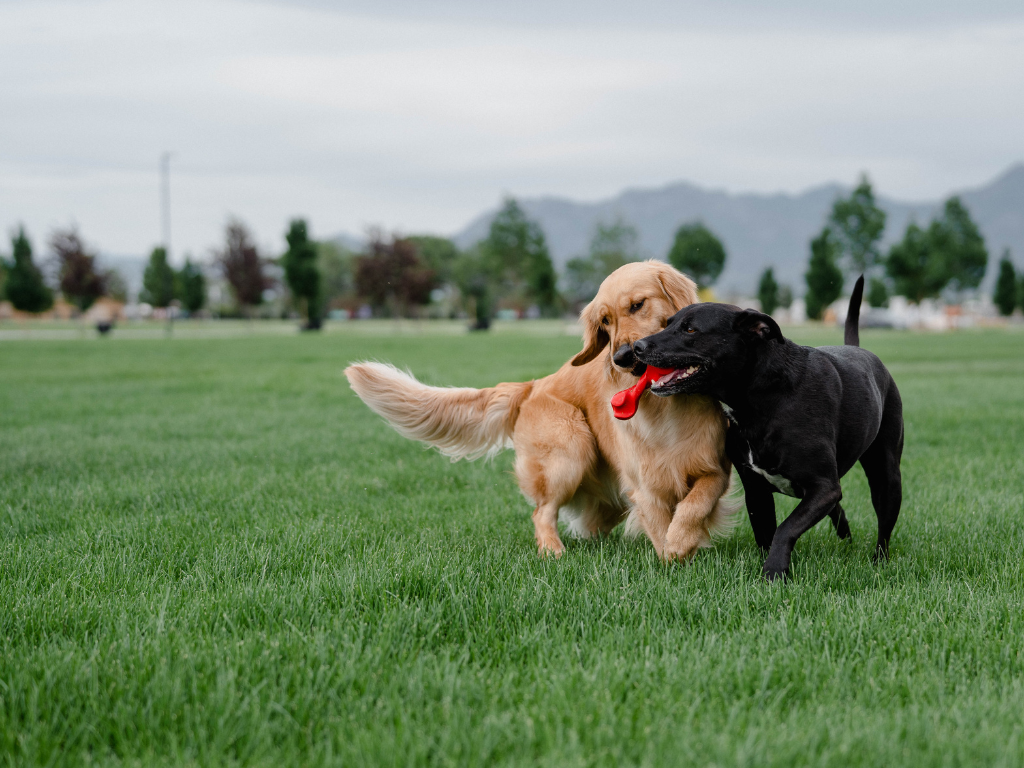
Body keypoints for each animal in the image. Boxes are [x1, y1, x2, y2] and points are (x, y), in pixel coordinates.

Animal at [630, 280, 905, 581]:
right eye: (668, 323)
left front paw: (774, 572)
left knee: (884, 529)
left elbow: (785, 528)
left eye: (690, 329)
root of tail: (857, 349)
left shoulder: (823, 487)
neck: (763, 397)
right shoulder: (756, 491)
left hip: (887, 477)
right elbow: (766, 533)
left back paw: (879, 563)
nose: (636, 346)